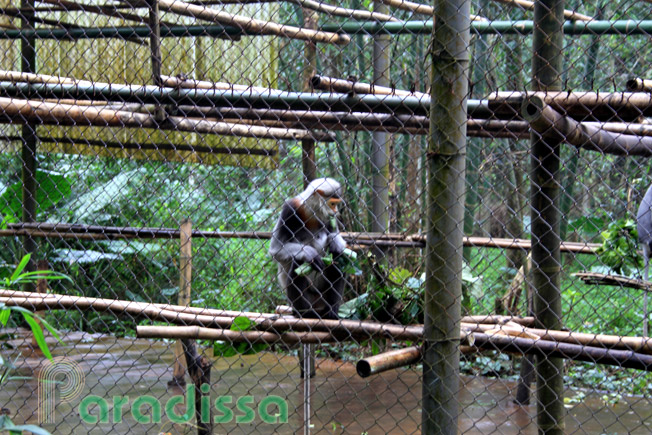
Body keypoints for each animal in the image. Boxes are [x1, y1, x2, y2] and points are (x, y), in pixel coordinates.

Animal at [270, 178, 348, 320]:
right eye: (332, 203)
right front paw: (310, 254)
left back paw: (331, 311)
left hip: (323, 296)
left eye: (336, 204)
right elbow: (276, 249)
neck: (310, 212)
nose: (336, 212)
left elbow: (335, 239)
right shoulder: (290, 209)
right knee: (298, 262)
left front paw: (334, 241)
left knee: (338, 256)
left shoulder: (329, 218)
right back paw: (305, 313)